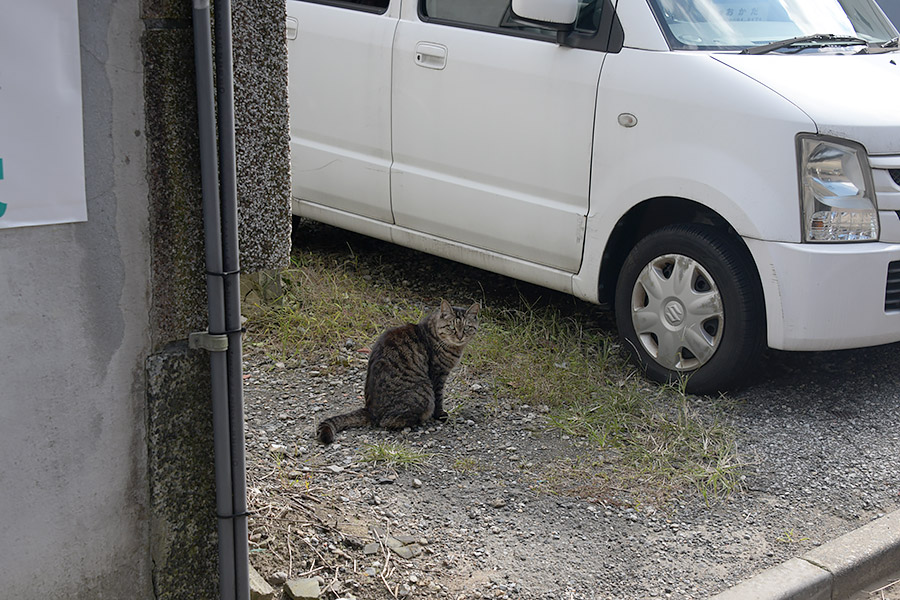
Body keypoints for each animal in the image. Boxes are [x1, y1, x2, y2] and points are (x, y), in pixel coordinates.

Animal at [320, 300, 482, 446]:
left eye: (467, 328)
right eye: (452, 327)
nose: (460, 336)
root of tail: (370, 410)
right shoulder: (437, 375)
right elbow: (439, 398)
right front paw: (440, 415)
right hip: (424, 392)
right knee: (387, 422)